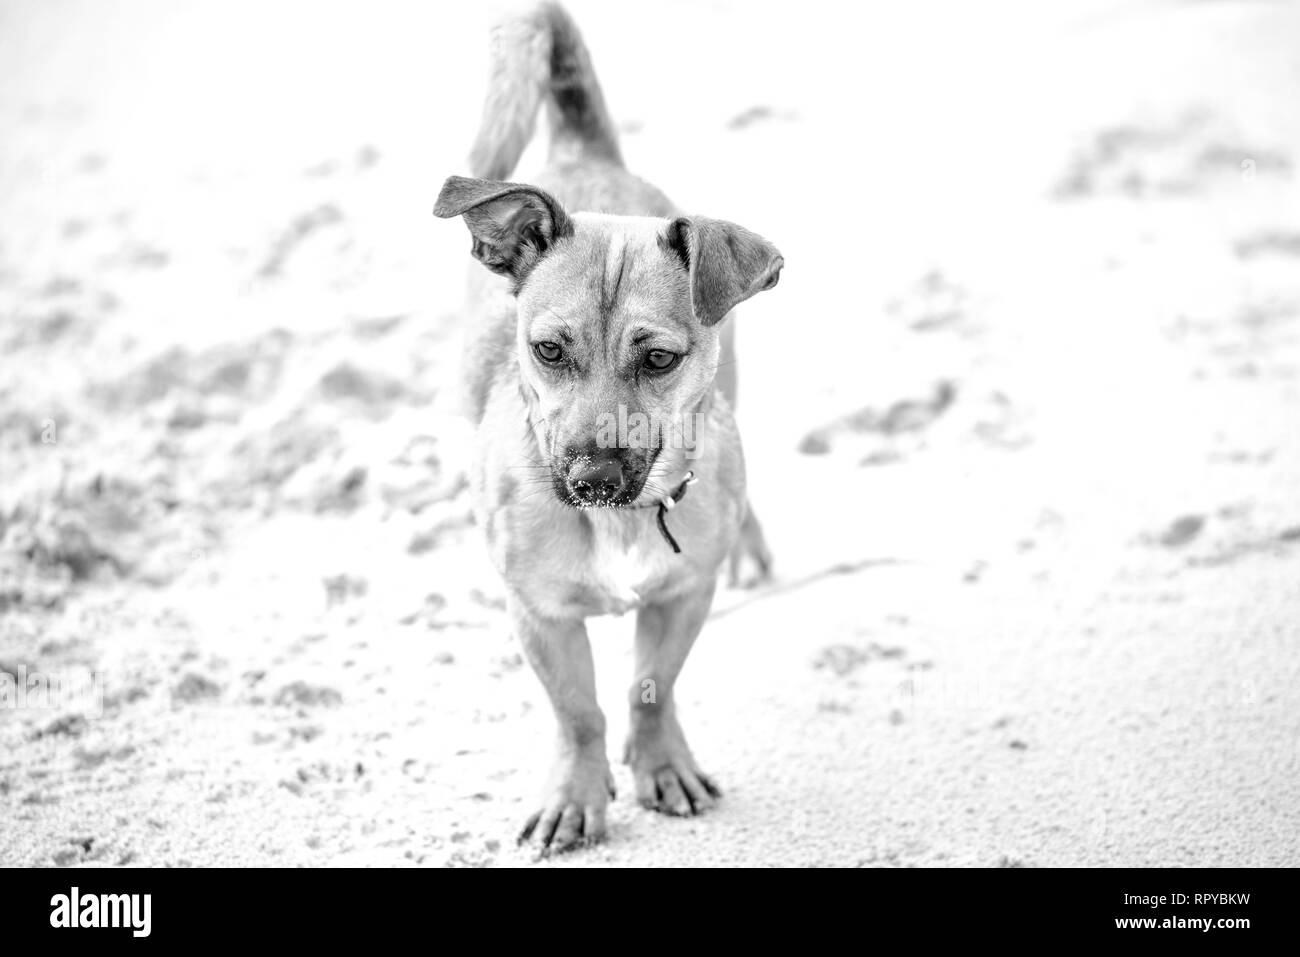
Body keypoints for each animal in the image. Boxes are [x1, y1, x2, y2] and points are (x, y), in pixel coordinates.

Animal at [434, 0, 780, 852]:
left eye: (657, 359)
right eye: (548, 350)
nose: (590, 479)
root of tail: (580, 149)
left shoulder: (683, 596)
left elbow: (650, 687)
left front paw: (660, 765)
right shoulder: (541, 617)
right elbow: (579, 710)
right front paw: (576, 793)